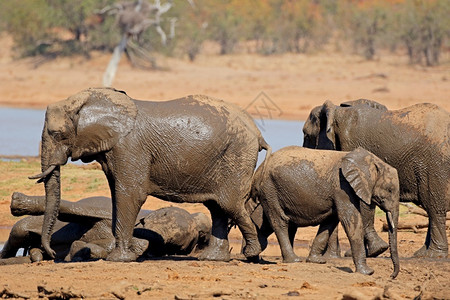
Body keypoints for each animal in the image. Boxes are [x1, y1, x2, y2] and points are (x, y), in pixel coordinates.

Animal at [29, 87, 270, 262]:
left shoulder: (129, 146)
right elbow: (116, 195)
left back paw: (250, 253)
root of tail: (257, 132)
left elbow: (129, 195)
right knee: (217, 207)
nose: (51, 254)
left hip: (236, 155)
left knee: (230, 204)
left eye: (57, 134)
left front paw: (118, 259)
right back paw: (213, 259)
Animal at [250, 146, 400, 278]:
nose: (391, 275)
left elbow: (330, 222)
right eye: (390, 190)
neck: (371, 161)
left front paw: (316, 261)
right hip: (270, 189)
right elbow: (349, 219)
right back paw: (293, 260)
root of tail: (258, 171)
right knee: (280, 221)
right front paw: (367, 272)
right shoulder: (341, 185)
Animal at [302, 98, 450, 258]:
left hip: (434, 165)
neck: (337, 111)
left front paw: (371, 251)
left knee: (433, 205)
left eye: (307, 136)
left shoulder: (353, 145)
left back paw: (433, 255)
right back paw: (421, 254)